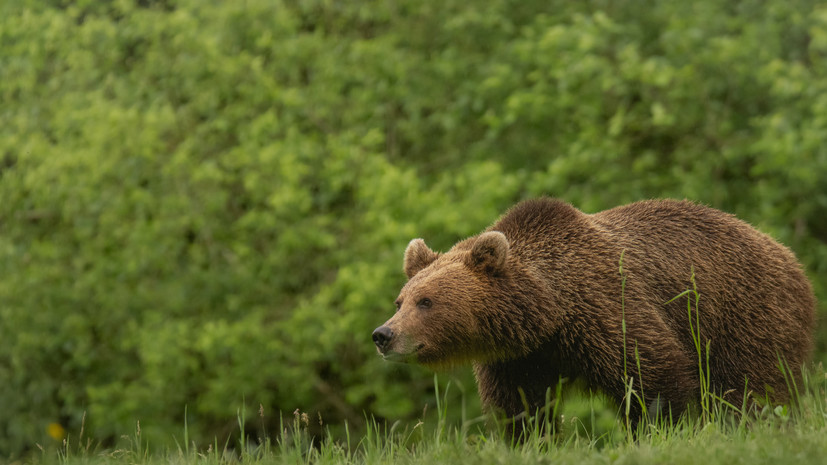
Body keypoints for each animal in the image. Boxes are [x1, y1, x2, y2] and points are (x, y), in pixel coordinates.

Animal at [372, 198, 816, 432]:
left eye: (426, 301)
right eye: (400, 301)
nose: (383, 335)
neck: (549, 313)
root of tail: (790, 257)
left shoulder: (606, 309)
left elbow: (653, 375)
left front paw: (657, 431)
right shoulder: (519, 358)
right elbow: (522, 408)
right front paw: (533, 437)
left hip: (744, 315)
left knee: (754, 388)